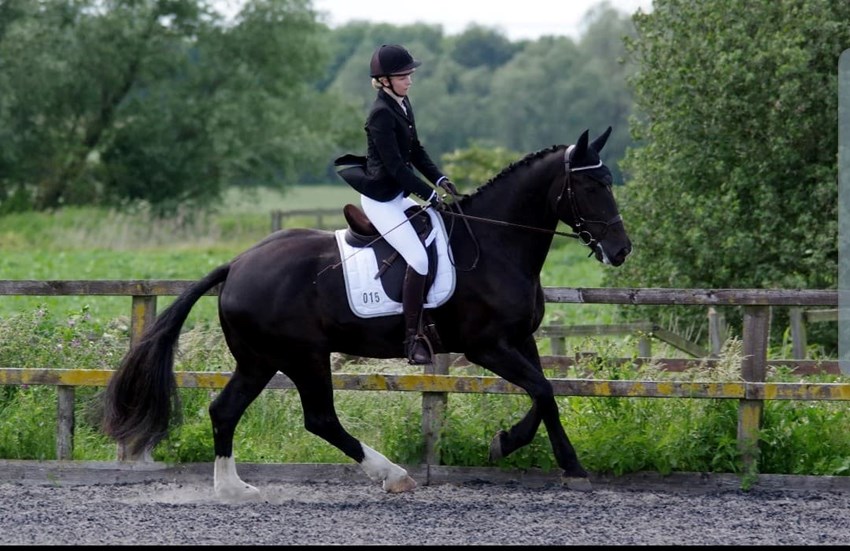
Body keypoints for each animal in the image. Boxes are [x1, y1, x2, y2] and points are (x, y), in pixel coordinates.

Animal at [101, 126, 628, 500]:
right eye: (590, 186)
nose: (620, 250)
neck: (496, 243)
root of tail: (239, 263)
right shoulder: (487, 346)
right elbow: (543, 390)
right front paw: (529, 452)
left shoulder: (521, 339)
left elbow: (546, 394)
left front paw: (546, 455)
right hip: (304, 356)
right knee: (320, 419)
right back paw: (392, 475)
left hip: (260, 359)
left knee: (225, 410)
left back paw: (233, 489)